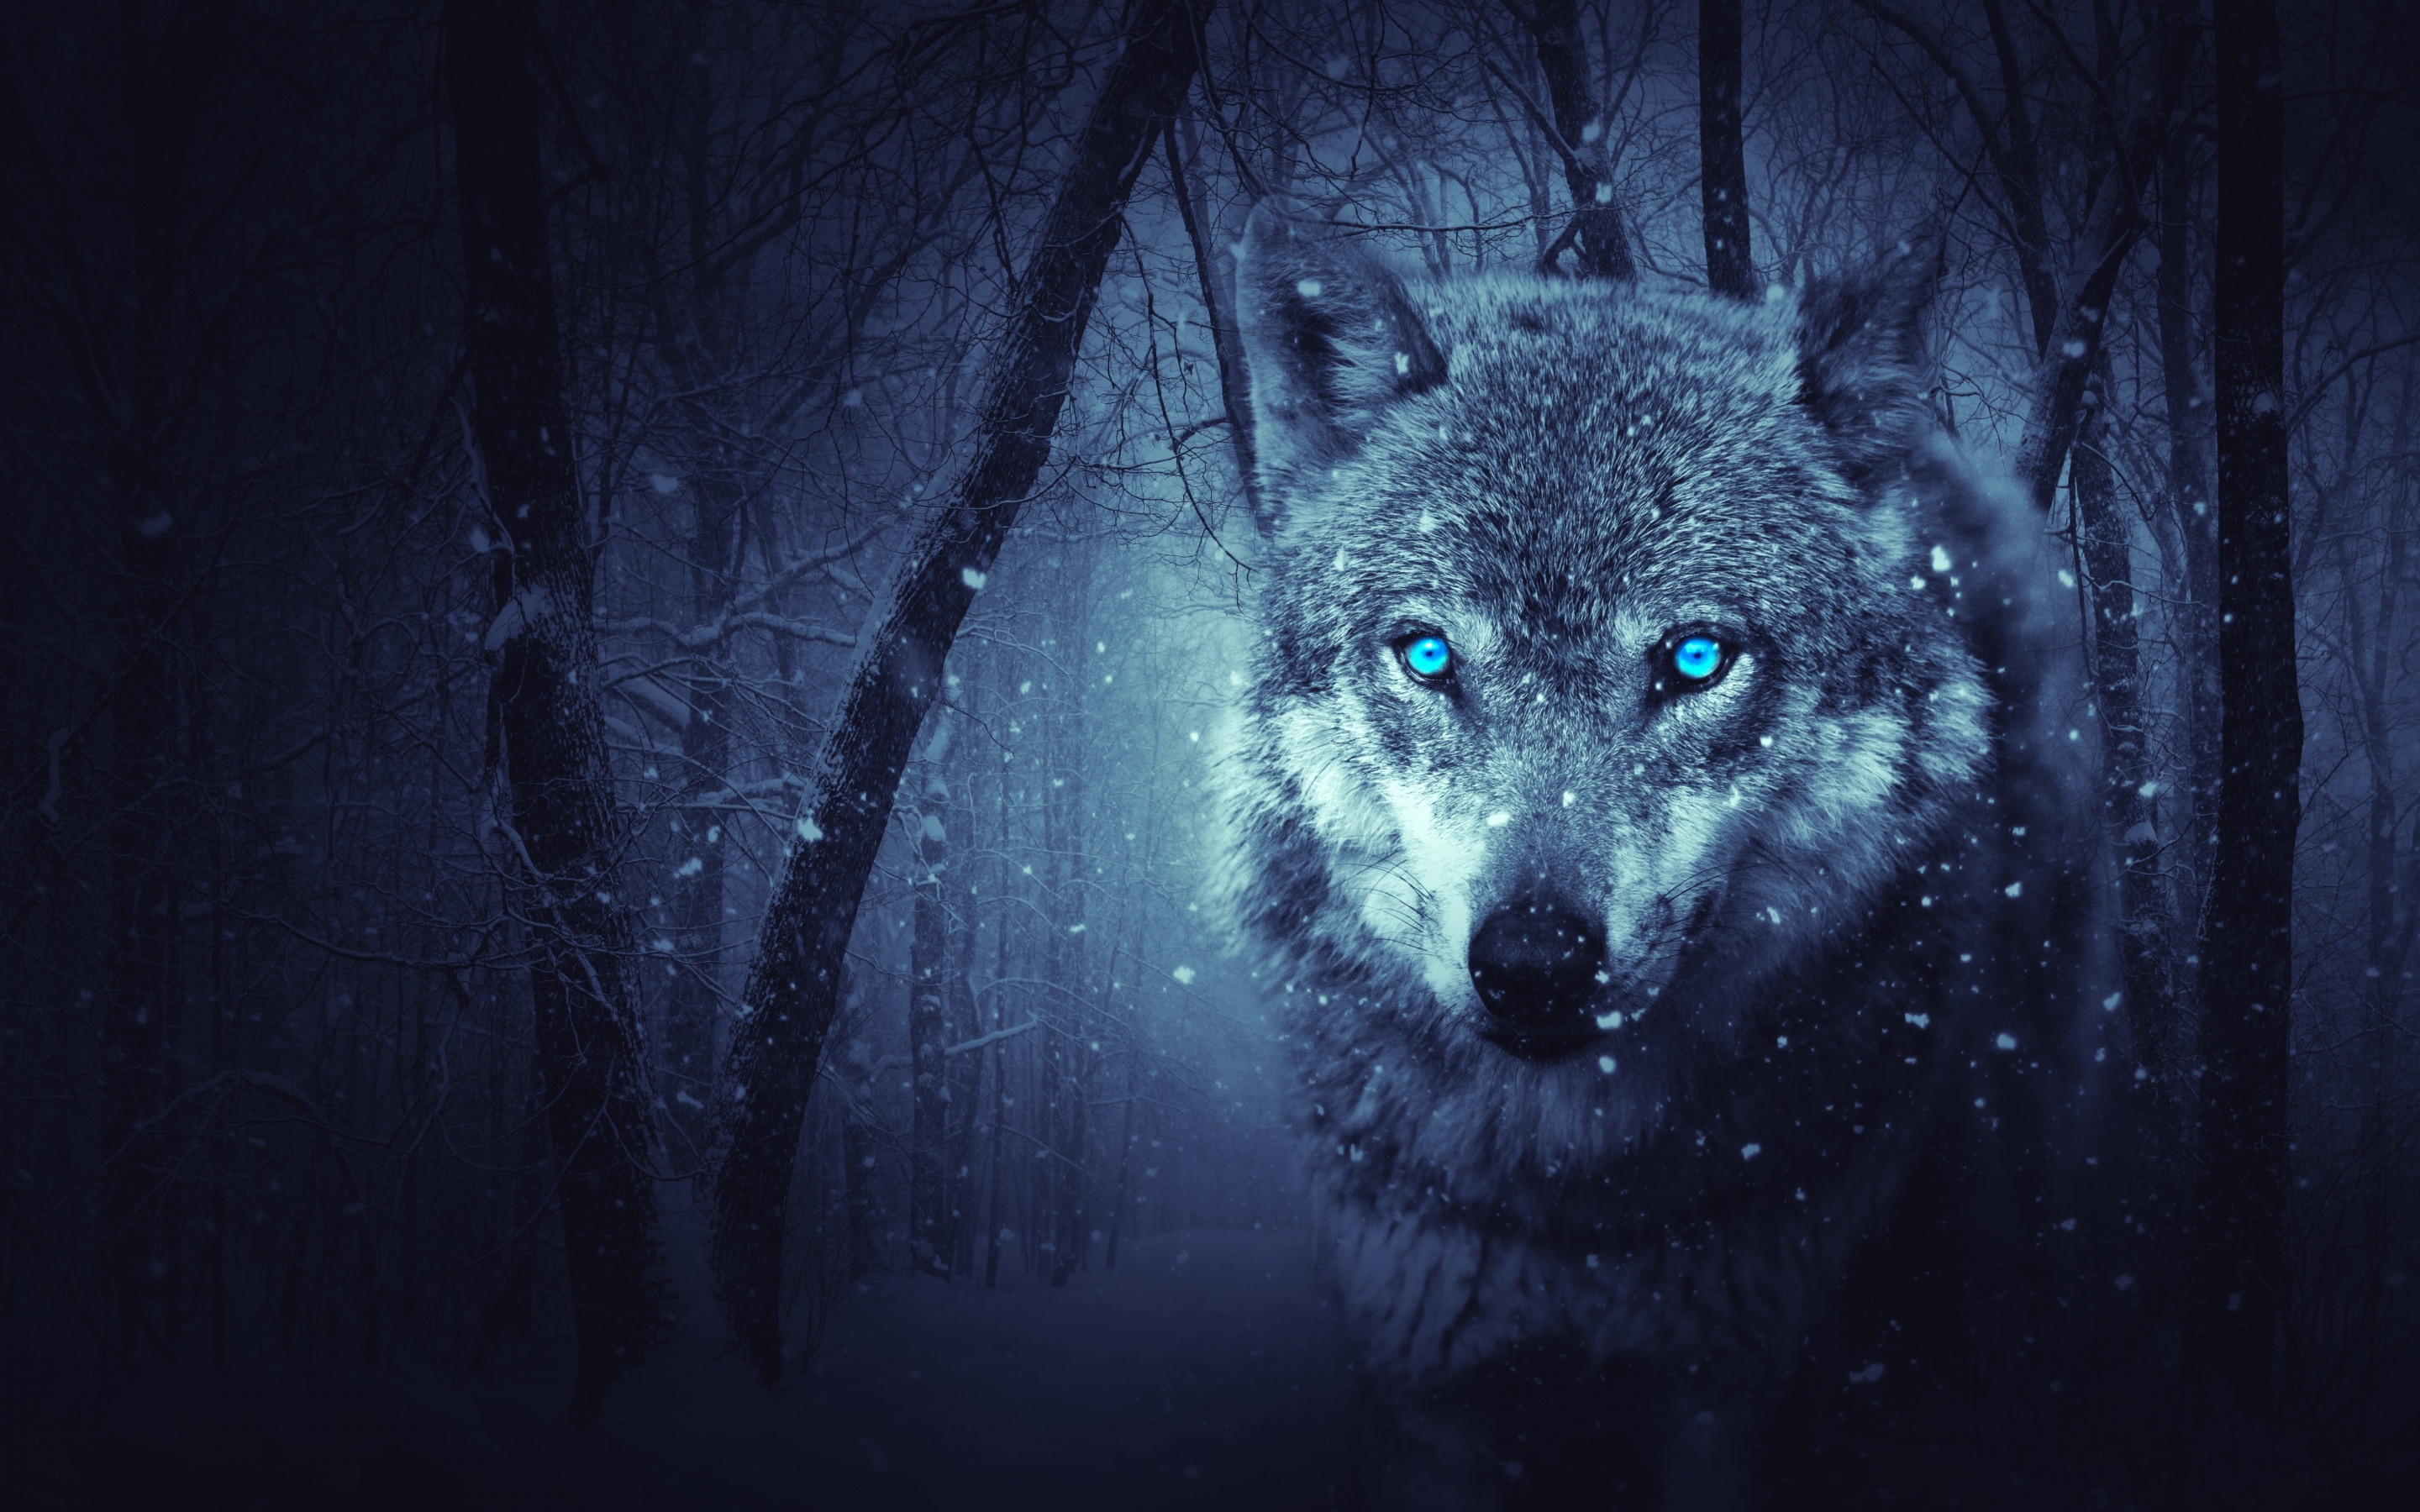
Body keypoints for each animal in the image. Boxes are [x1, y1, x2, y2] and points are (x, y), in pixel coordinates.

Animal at [1207, 208, 2107, 1509]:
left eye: (1693, 659)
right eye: (1428, 655)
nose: (1533, 964)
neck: (1575, 1205)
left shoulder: (1737, 1386)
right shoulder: (1427, 1383)